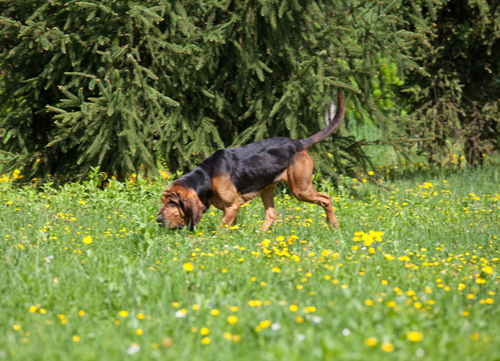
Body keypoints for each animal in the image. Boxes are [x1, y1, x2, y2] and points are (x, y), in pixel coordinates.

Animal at [156, 88, 344, 232]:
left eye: (172, 203)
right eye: (163, 201)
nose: (157, 220)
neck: (207, 176)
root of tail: (299, 143)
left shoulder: (232, 206)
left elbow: (220, 229)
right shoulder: (232, 210)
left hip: (301, 189)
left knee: (326, 199)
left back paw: (334, 226)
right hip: (267, 188)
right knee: (271, 214)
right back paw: (260, 236)